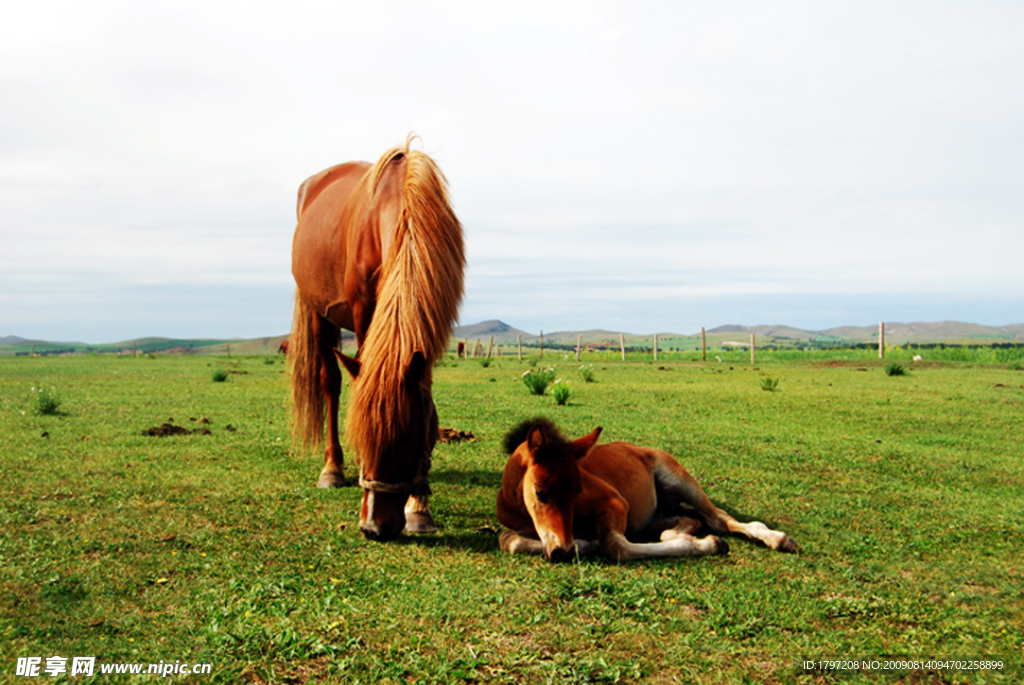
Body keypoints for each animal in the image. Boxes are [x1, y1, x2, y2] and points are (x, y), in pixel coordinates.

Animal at [288, 137, 464, 540]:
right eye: (364, 437)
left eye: (405, 440)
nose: (373, 527)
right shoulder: (361, 309)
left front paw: (419, 508)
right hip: (319, 312)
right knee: (331, 382)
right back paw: (332, 469)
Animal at [497, 417, 798, 561]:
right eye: (540, 492)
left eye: (577, 491)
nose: (564, 552)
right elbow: (509, 540)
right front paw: (583, 544)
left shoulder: (615, 502)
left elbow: (615, 545)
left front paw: (709, 545)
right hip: (656, 515)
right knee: (686, 520)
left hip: (679, 479)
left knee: (719, 519)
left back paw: (778, 539)